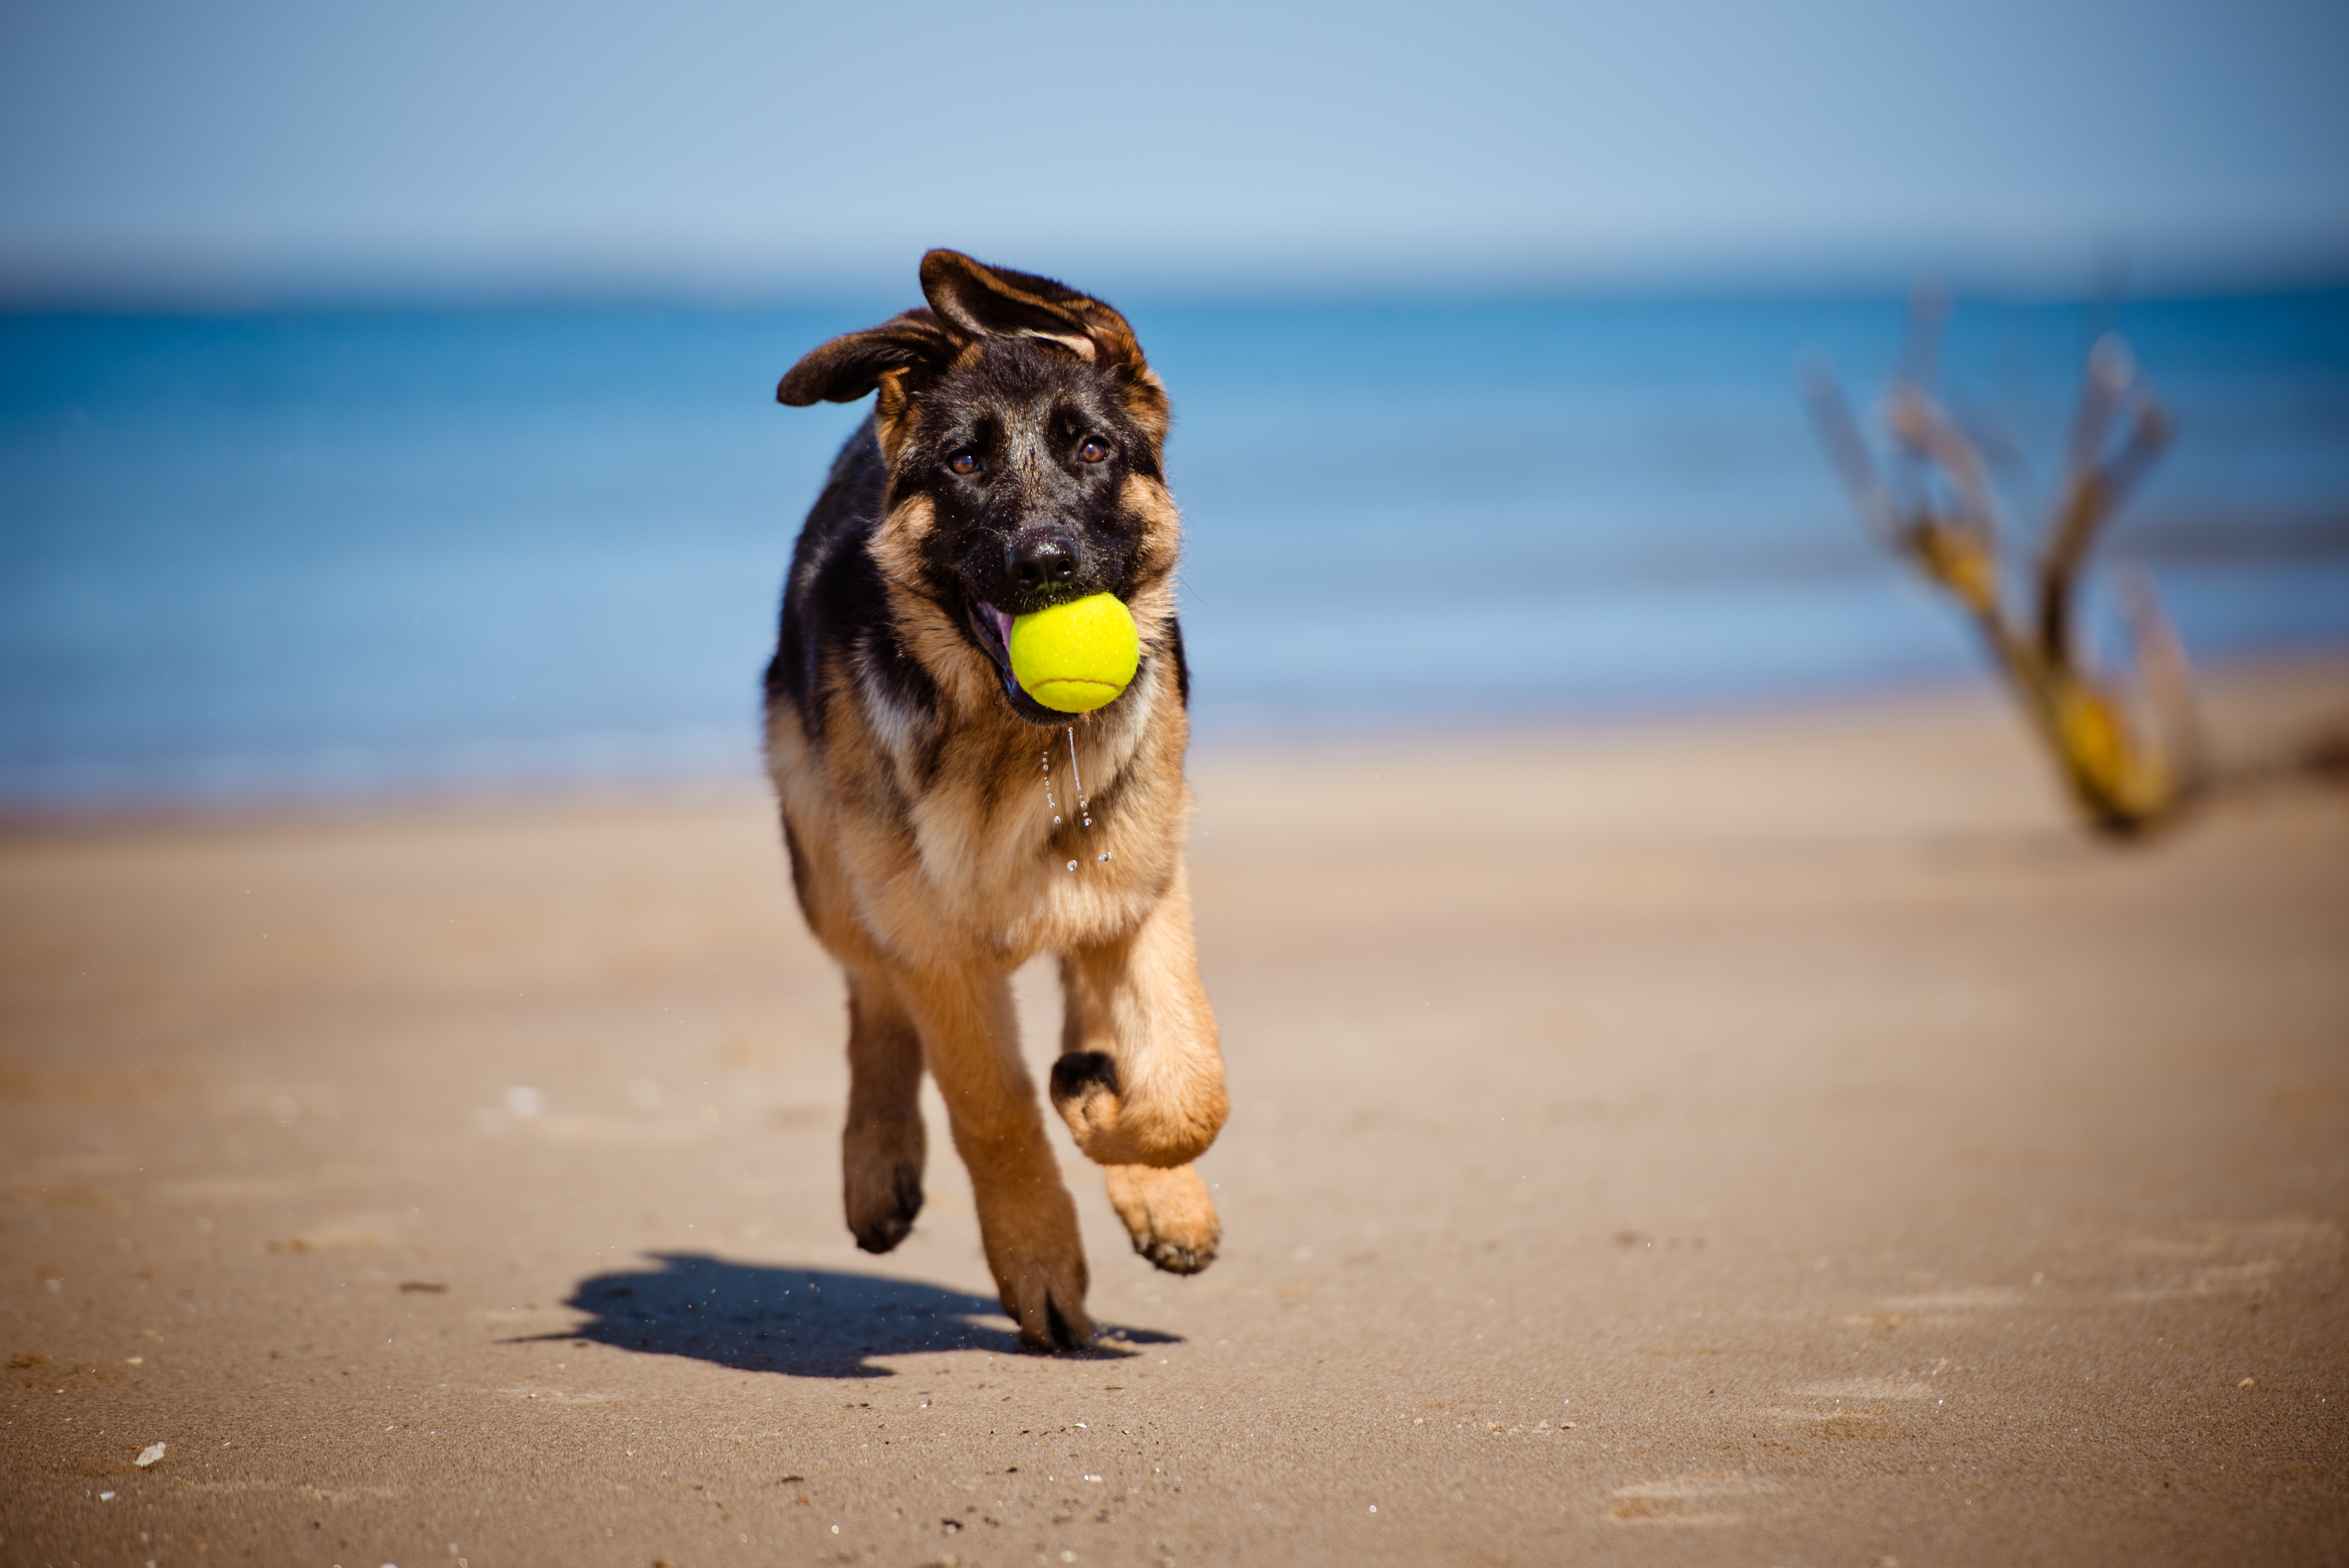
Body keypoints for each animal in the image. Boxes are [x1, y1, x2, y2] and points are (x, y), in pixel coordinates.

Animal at [765, 245, 1231, 1354]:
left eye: (1094, 447)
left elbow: (1188, 1080)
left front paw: (1128, 1139)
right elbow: (997, 1109)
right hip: (830, 858)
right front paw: (1041, 1261)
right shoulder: (937, 945)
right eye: (964, 463)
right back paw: (878, 1159)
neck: (1012, 748)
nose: (1048, 564)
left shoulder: (1141, 891)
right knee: (869, 984)